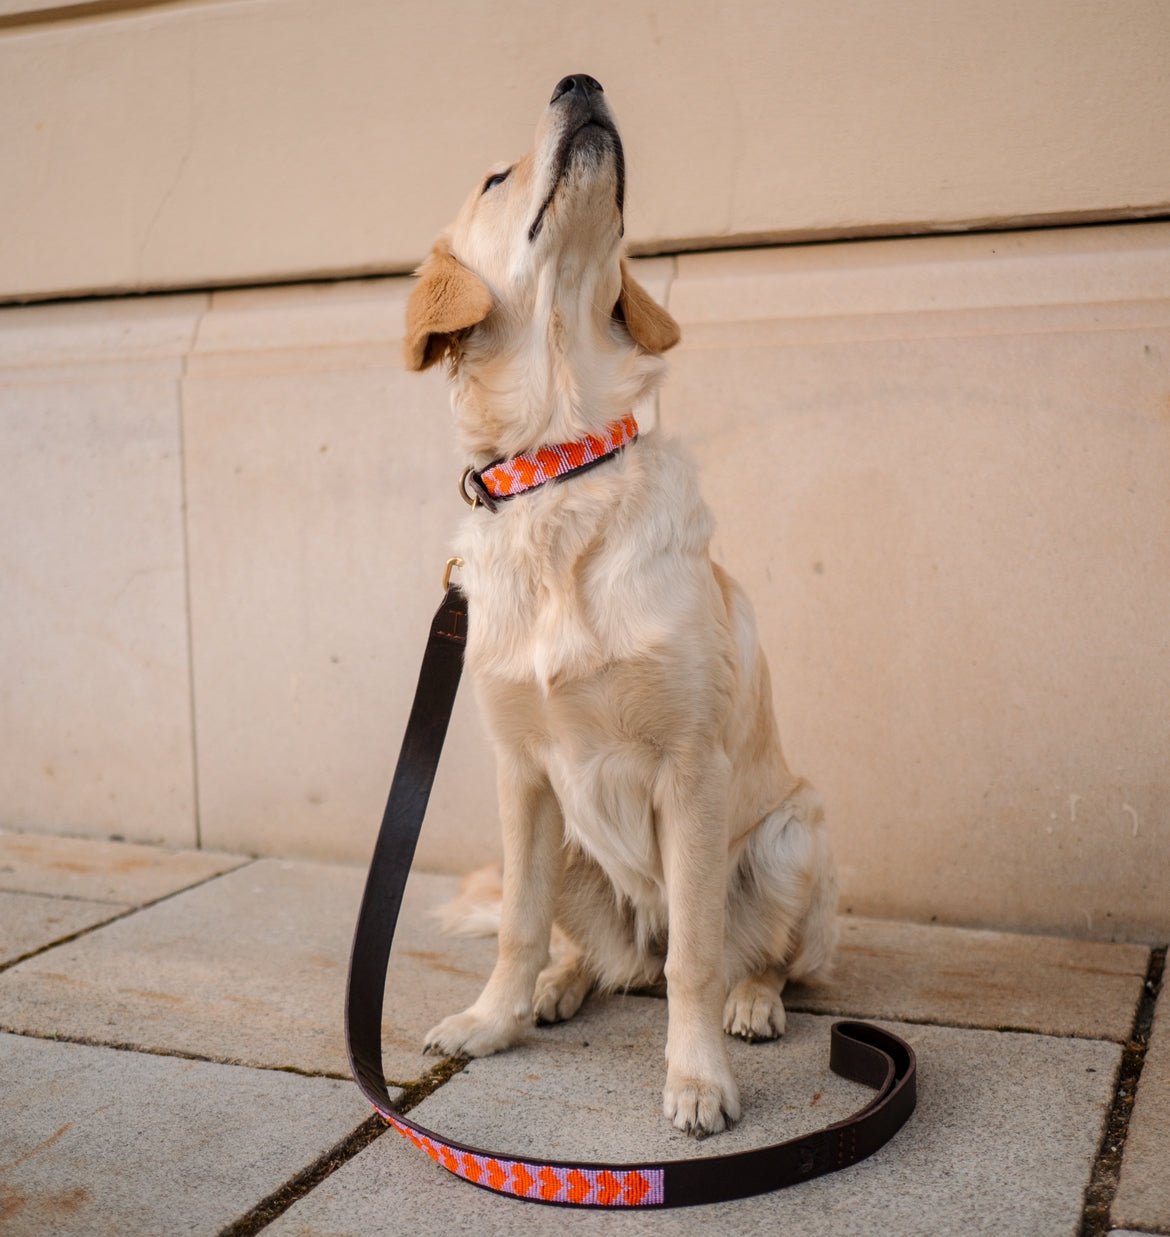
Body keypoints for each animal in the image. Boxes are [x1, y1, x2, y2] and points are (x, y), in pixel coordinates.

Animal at [405, 72, 836, 1133]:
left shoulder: (691, 768)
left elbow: (697, 960)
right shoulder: (522, 773)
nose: (581, 80)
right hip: (572, 850)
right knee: (590, 952)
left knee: (749, 957)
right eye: (493, 177)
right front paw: (494, 1020)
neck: (562, 466)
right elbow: (515, 928)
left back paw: (753, 1004)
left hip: (793, 836)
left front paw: (699, 1077)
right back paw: (562, 985)